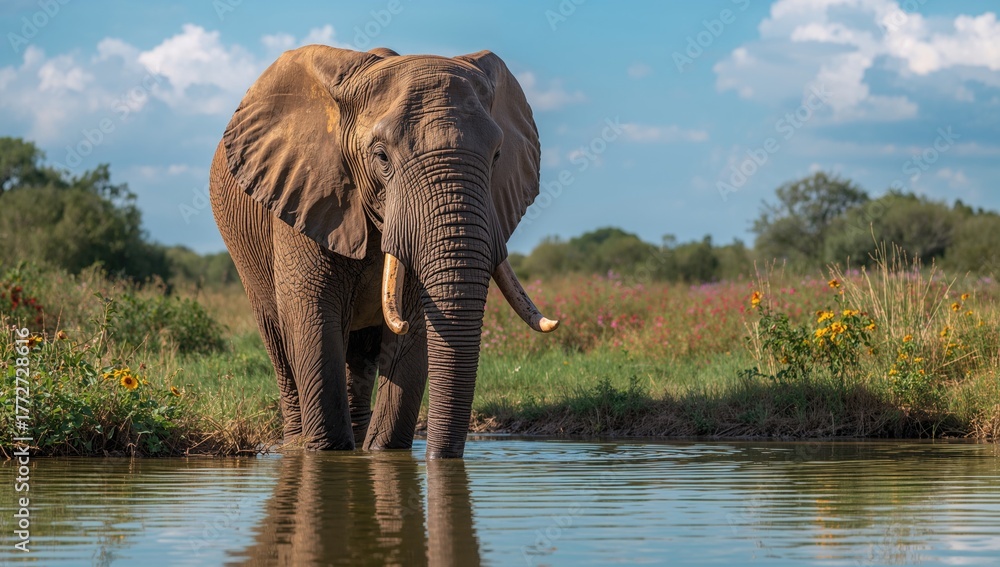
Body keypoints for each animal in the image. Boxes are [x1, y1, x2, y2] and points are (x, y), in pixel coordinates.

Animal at [209, 45, 558, 459]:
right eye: (381, 157)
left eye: (497, 156)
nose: (442, 457)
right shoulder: (304, 194)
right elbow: (313, 319)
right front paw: (327, 452)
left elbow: (413, 326)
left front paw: (383, 453)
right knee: (279, 339)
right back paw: (295, 446)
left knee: (360, 354)